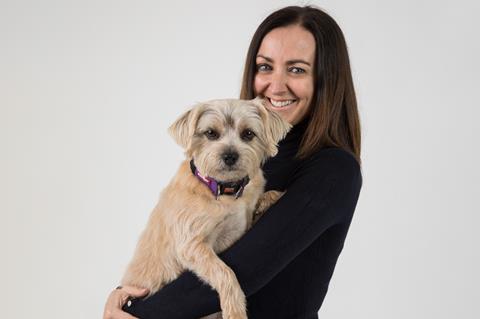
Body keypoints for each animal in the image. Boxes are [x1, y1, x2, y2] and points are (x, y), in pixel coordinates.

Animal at [122, 98, 290, 319]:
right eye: (211, 133)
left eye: (248, 133)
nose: (230, 156)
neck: (224, 192)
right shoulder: (192, 244)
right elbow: (225, 272)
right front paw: (235, 310)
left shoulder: (244, 226)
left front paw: (274, 196)